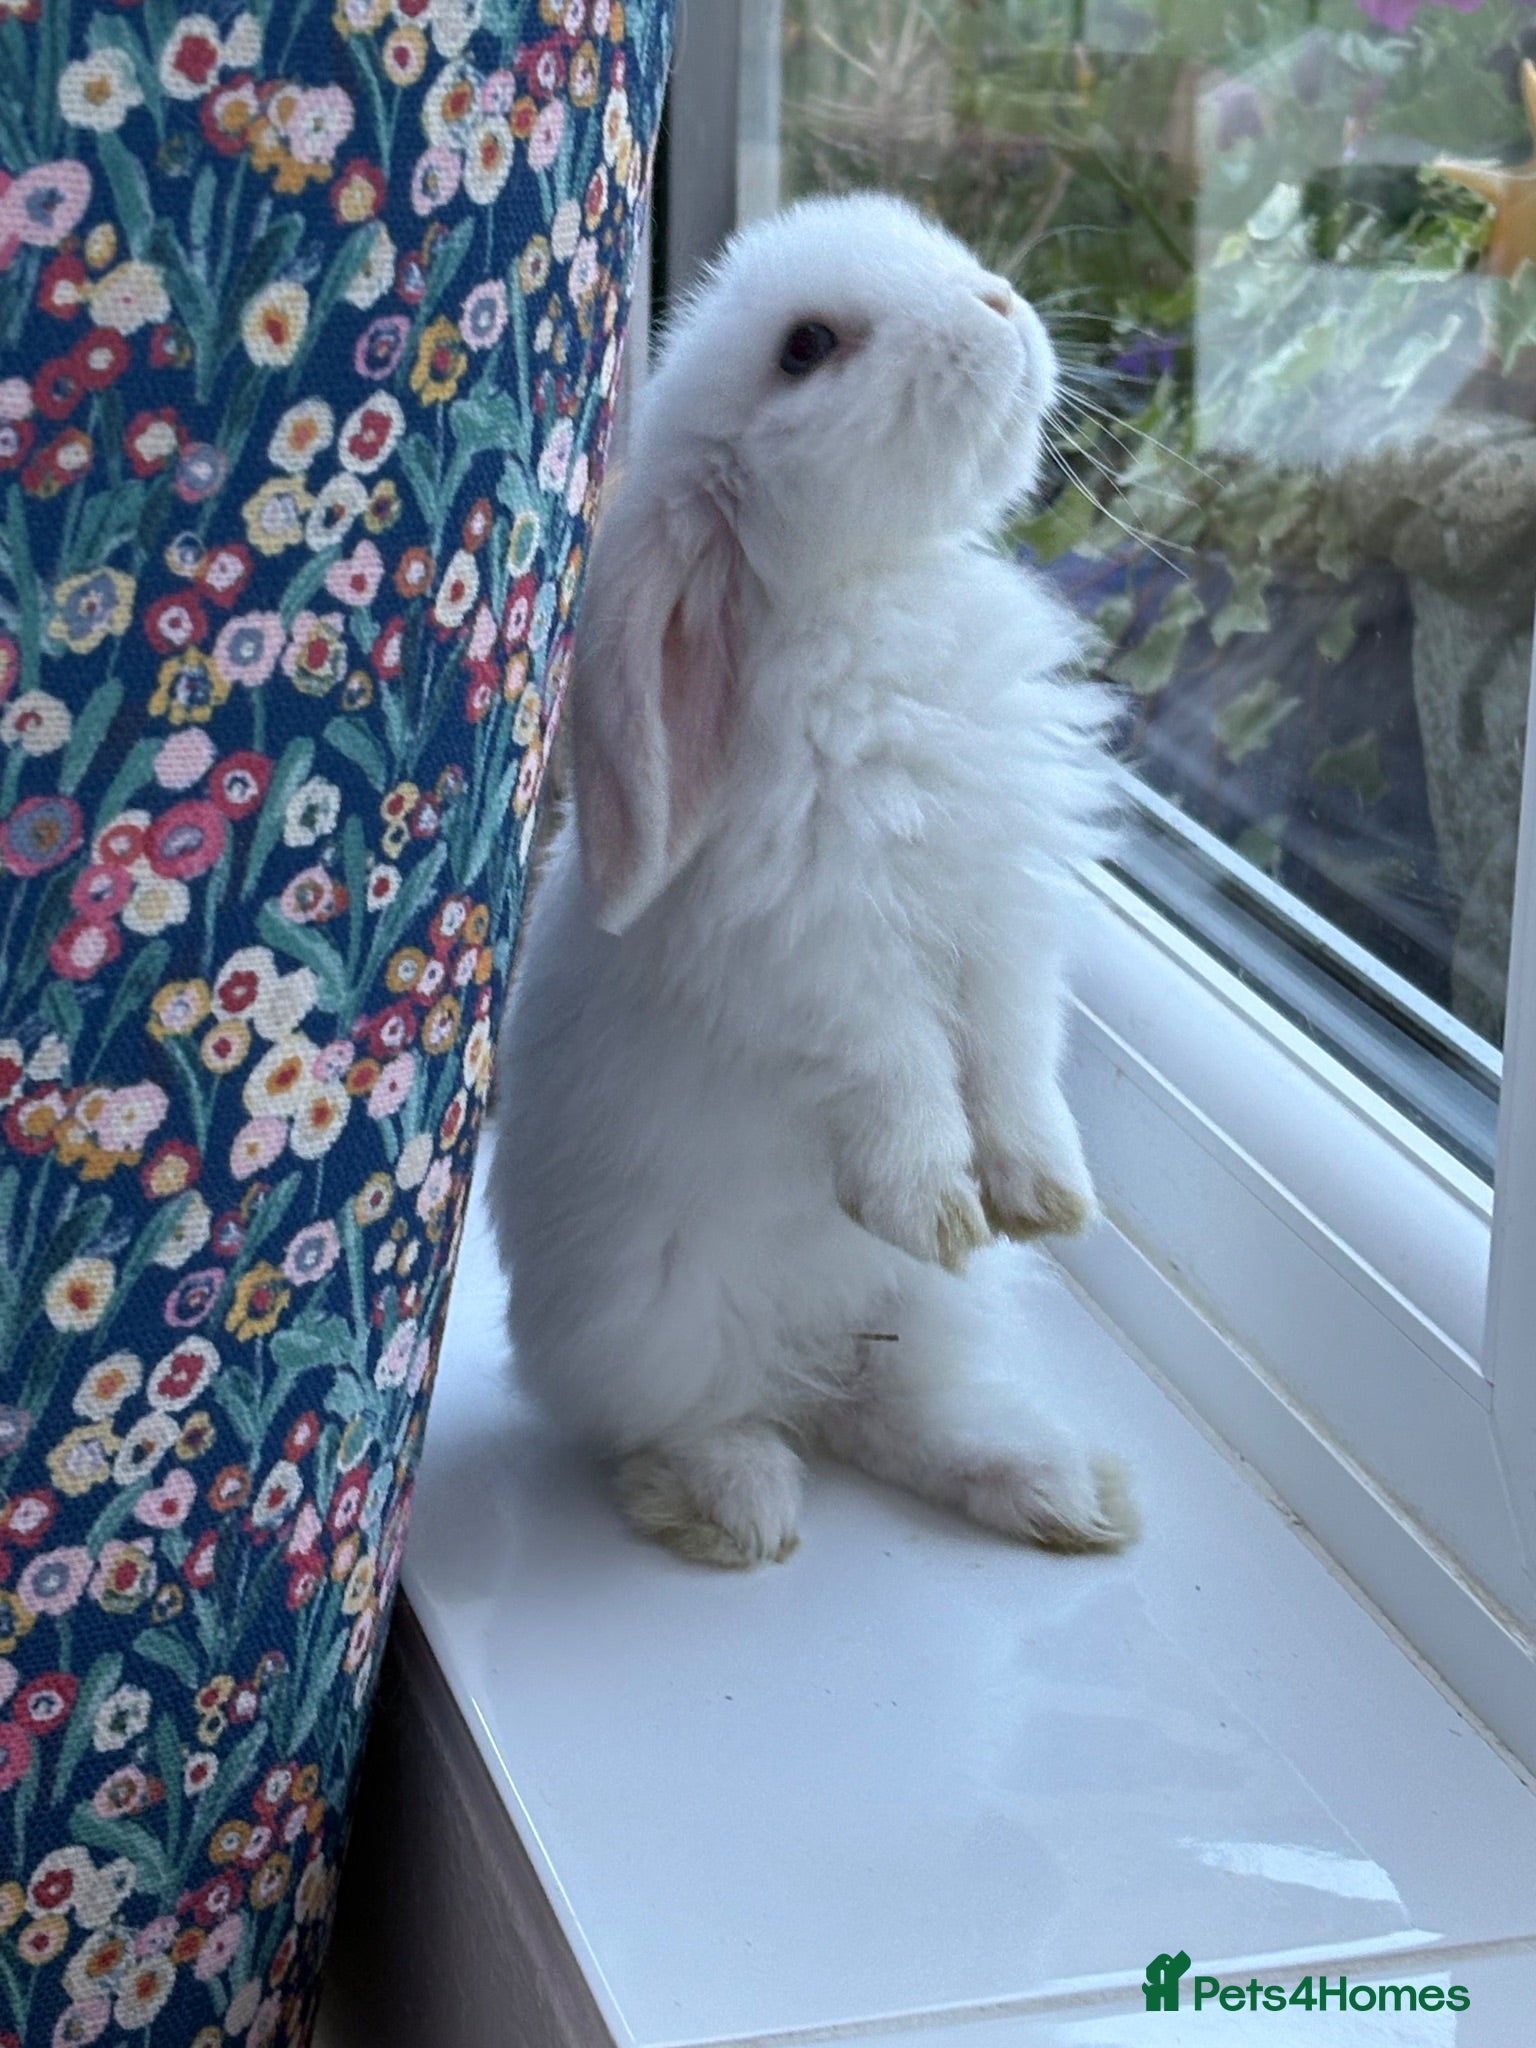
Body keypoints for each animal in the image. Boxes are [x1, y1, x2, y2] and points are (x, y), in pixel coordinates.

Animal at [486, 190, 1138, 1569]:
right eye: (808, 349)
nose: (1002, 302)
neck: (876, 593)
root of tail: (804, 1352)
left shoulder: (1007, 933)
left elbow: (1014, 1062)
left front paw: (1044, 1196)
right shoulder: (824, 962)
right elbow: (897, 1074)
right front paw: (936, 1199)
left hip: (928, 1319)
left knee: (895, 1406)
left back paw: (1064, 1486)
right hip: (647, 1328)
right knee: (700, 1421)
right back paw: (736, 1507)